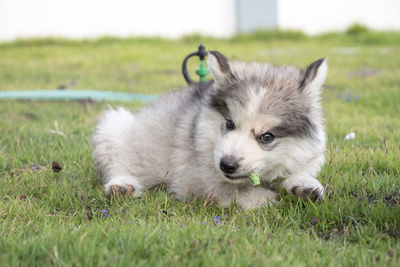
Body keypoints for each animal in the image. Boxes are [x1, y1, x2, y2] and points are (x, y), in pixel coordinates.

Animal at [92, 51, 326, 210]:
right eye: (230, 123)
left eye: (267, 137)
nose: (227, 165)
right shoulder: (194, 180)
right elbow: (234, 192)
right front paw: (270, 199)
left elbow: (300, 171)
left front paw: (303, 186)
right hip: (113, 127)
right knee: (117, 164)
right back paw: (122, 186)